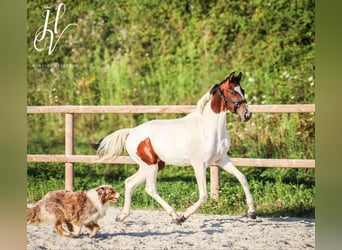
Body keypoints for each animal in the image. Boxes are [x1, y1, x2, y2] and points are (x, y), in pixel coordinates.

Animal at [93, 71, 256, 225]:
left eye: (242, 90)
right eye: (232, 92)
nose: (247, 115)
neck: (210, 129)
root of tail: (131, 132)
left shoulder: (221, 160)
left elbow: (242, 178)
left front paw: (252, 212)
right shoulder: (199, 165)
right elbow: (203, 195)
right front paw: (184, 216)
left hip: (153, 165)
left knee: (130, 183)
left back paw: (122, 216)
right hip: (151, 166)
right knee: (150, 188)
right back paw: (175, 216)